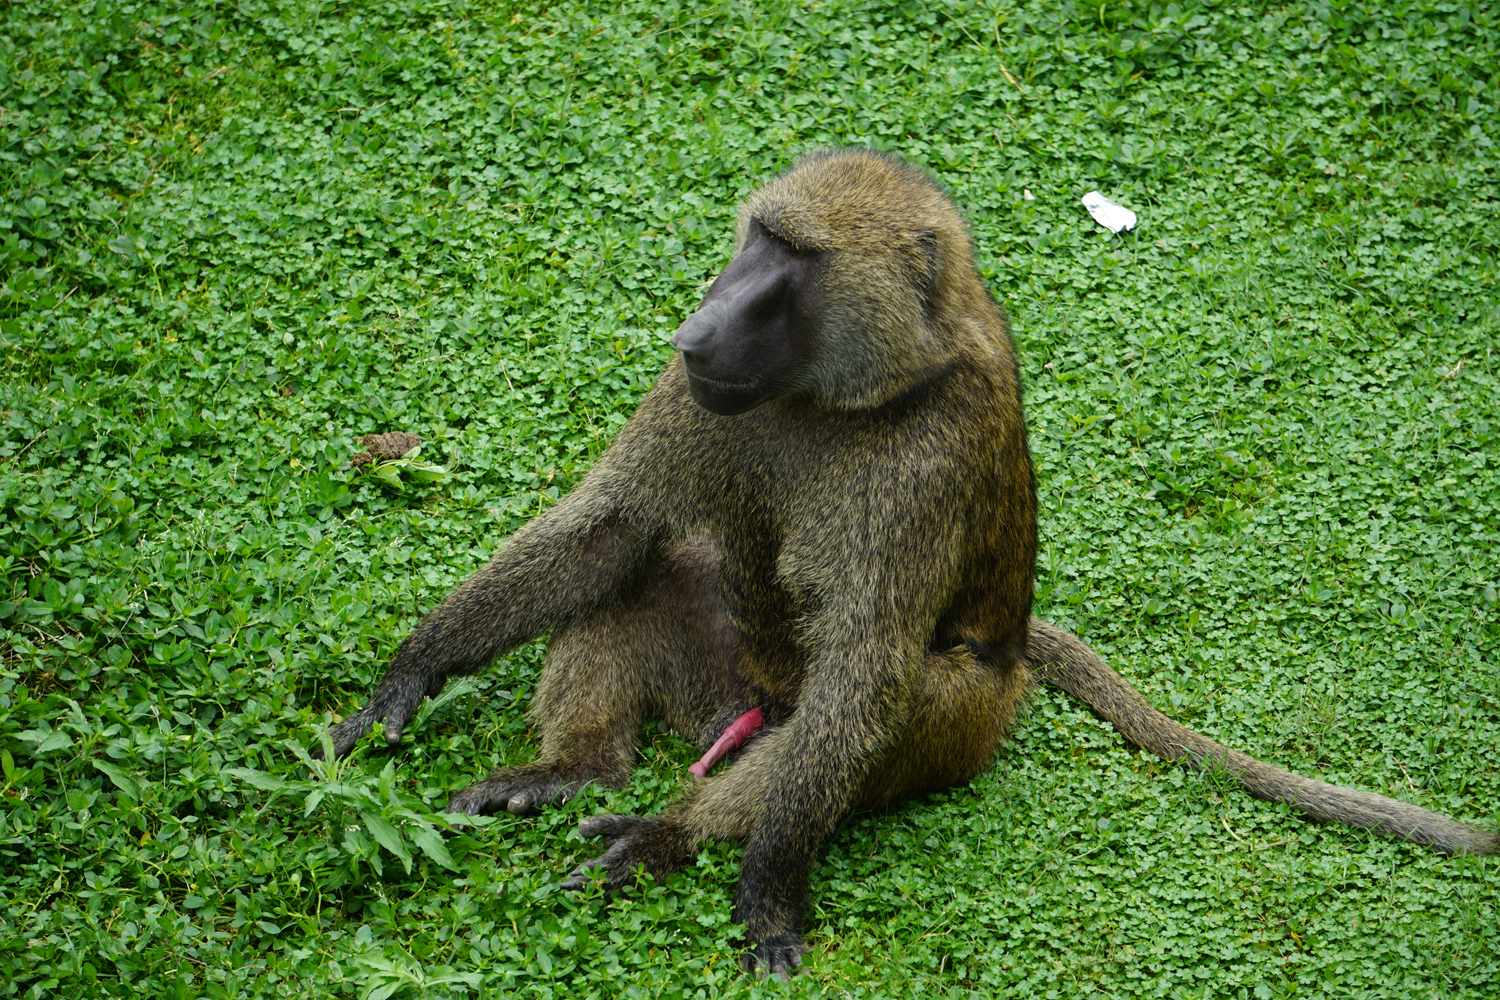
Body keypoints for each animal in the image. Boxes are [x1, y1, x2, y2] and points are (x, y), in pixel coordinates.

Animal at [319, 149, 1497, 977]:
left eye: (792, 262)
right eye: (755, 237)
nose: (696, 328)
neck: (855, 391)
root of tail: (733, 709)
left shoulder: (924, 464)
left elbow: (867, 667)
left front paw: (764, 887)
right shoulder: (695, 399)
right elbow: (609, 528)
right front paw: (403, 681)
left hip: (967, 721)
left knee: (901, 696)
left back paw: (667, 833)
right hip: (725, 671)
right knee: (648, 564)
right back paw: (574, 769)